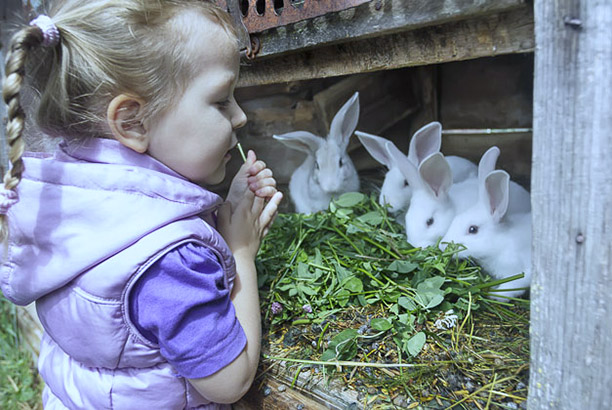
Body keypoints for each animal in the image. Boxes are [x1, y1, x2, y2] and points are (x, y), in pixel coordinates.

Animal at [440, 170, 532, 302]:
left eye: (473, 229)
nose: (442, 247)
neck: (501, 244)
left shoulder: (523, 271)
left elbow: (513, 285)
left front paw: (495, 295)